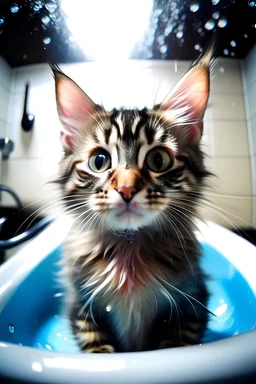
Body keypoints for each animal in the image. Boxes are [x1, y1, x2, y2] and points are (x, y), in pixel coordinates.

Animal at [52, 49, 212, 352]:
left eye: (158, 160)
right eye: (99, 161)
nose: (126, 189)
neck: (128, 252)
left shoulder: (192, 305)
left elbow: (173, 347)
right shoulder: (81, 309)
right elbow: (99, 350)